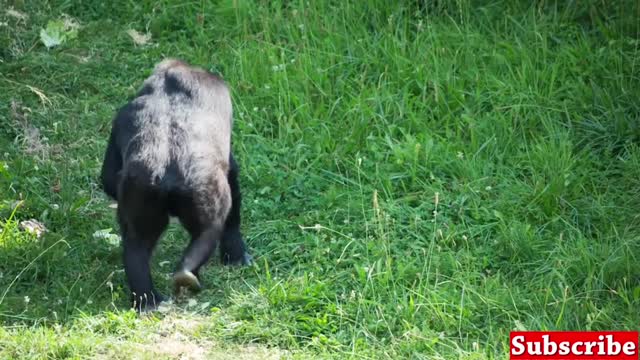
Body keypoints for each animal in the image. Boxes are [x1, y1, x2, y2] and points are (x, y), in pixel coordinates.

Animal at [99, 59, 250, 312]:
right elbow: (233, 177)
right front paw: (236, 253)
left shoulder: (119, 118)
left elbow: (108, 178)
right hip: (201, 188)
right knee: (208, 230)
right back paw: (186, 273)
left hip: (140, 189)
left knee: (137, 243)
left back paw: (147, 300)